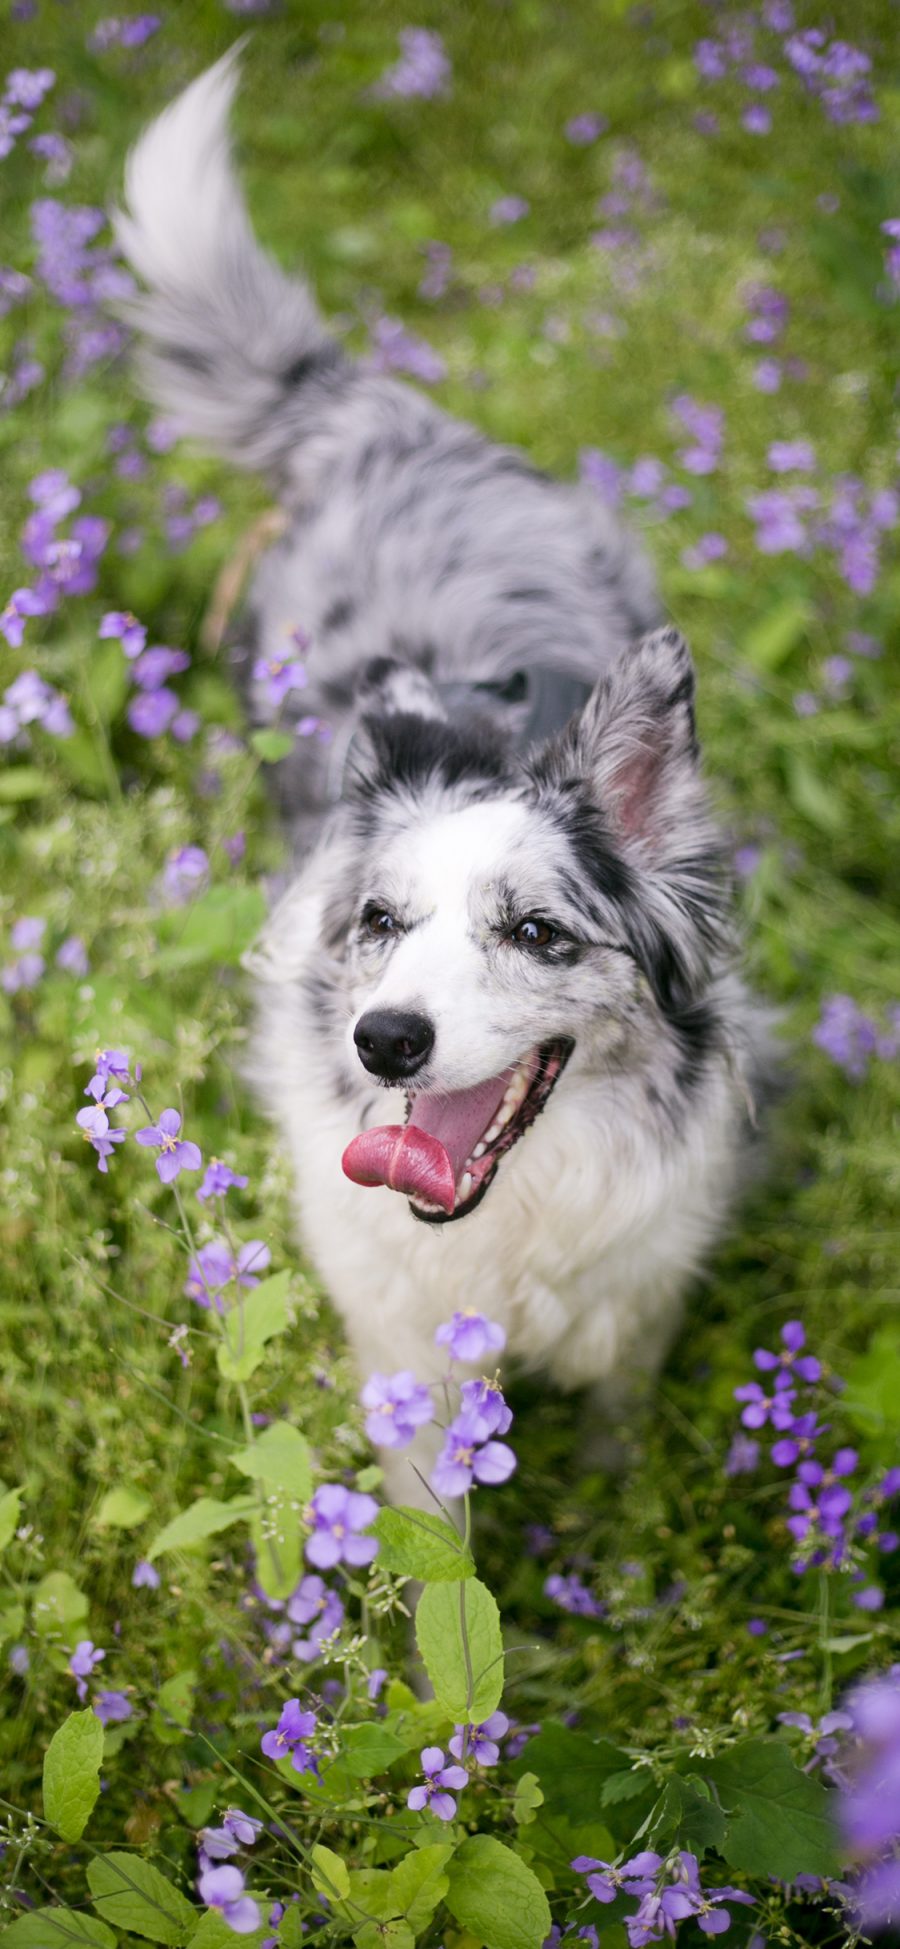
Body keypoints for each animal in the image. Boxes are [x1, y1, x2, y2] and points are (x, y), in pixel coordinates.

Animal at [115, 49, 771, 1504]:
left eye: (537, 931)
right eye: (380, 922)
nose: (387, 1040)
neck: (505, 1223)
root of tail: (384, 418)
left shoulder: (634, 1307)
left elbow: (618, 1445)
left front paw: (623, 1545)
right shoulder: (407, 1354)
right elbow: (431, 1542)